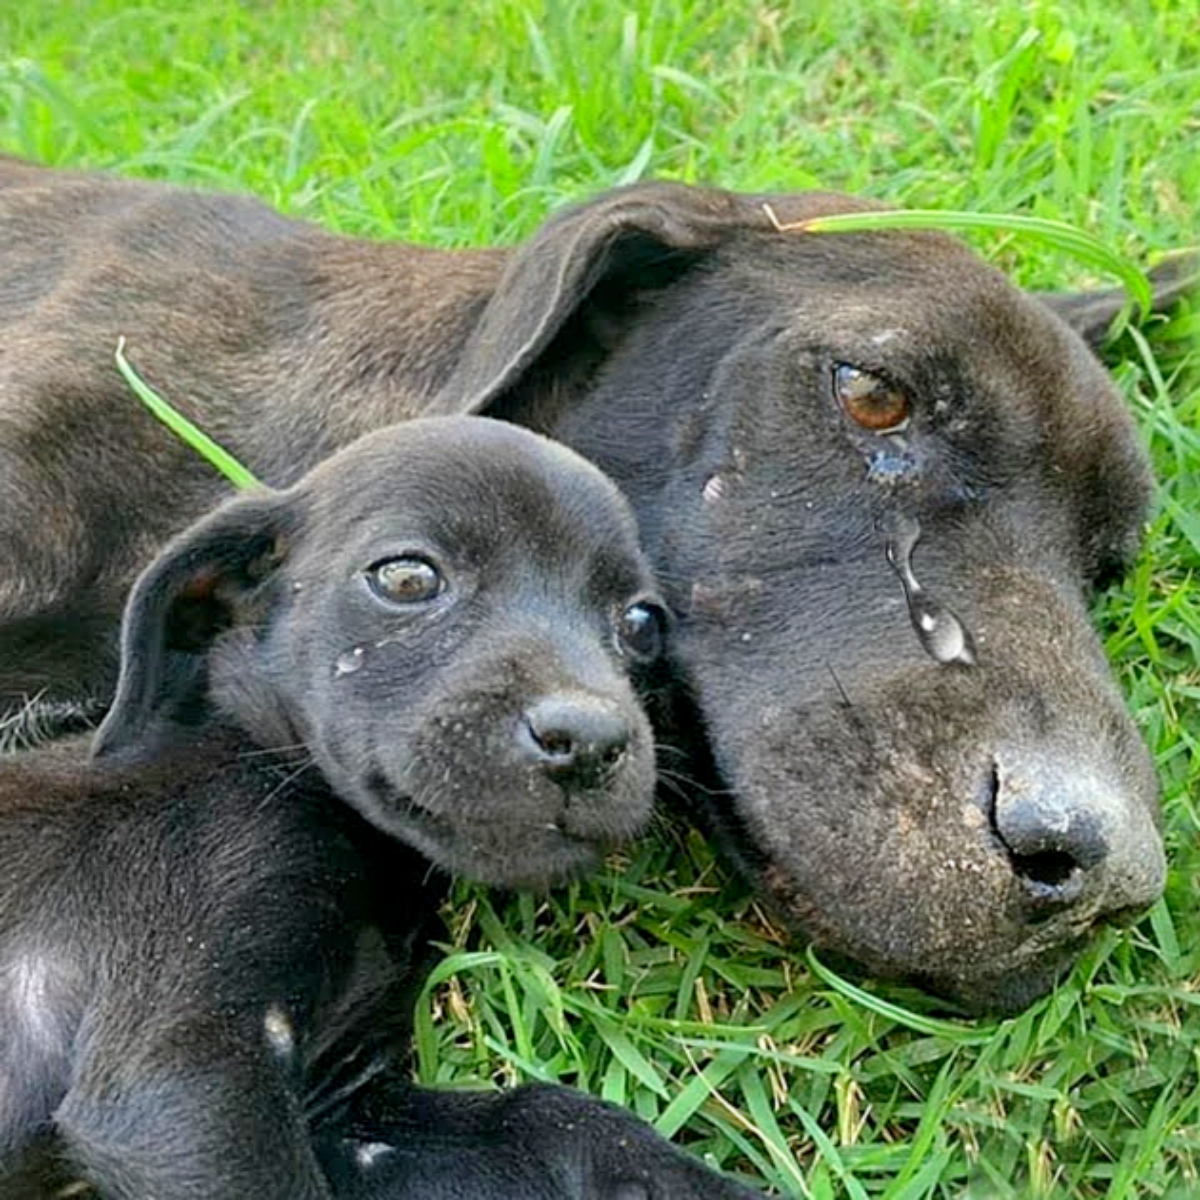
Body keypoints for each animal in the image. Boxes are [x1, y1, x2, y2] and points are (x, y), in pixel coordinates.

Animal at [2, 415, 758, 1200]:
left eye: (642, 623)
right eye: (407, 577)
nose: (588, 741)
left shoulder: (346, 1110)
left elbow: (552, 1118)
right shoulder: (180, 1074)